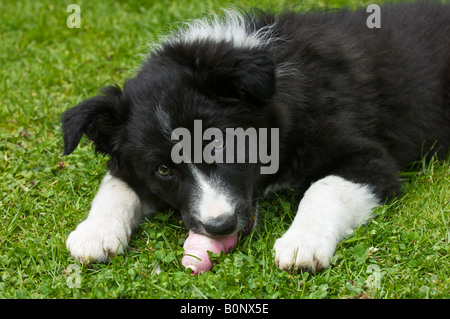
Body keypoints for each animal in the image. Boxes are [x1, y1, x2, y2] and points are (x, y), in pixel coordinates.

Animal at [62, 1, 446, 274]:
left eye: (218, 143)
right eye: (163, 170)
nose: (220, 225)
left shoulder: (368, 158)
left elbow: (324, 188)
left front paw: (303, 242)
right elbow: (116, 183)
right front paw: (94, 232)